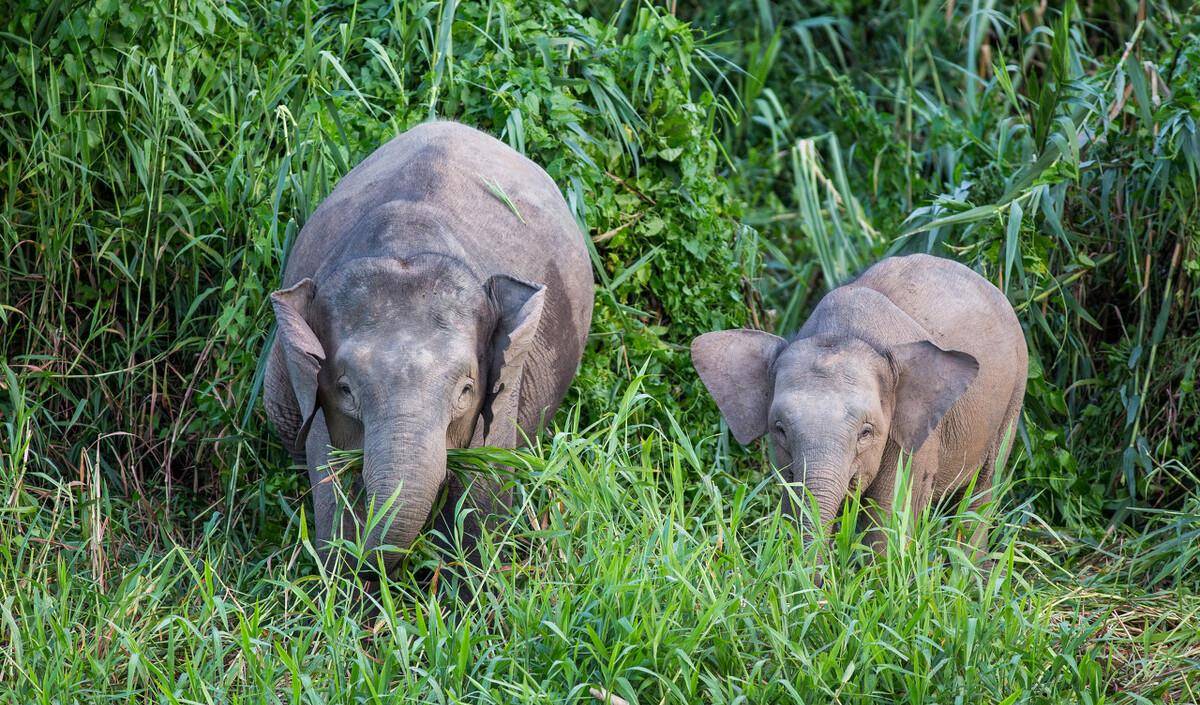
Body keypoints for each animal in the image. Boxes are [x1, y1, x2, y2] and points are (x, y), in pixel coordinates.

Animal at [266, 122, 595, 573]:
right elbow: (331, 487)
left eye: (466, 391)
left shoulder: (508, 382)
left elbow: (483, 496)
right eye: (346, 390)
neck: (408, 245)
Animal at [700, 252, 1027, 551]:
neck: (847, 331)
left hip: (1014, 395)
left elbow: (888, 518)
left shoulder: (916, 437)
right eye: (779, 429)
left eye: (866, 432)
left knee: (980, 495)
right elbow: (794, 504)